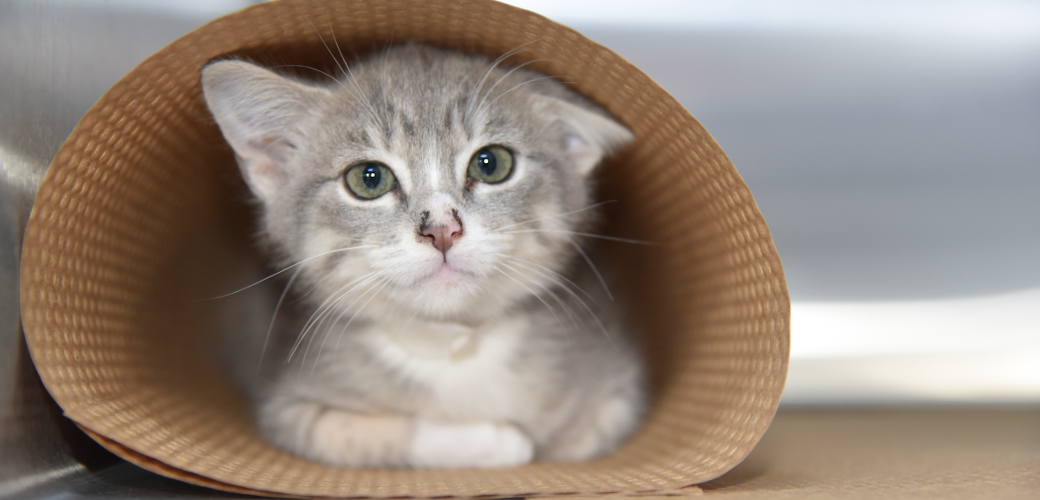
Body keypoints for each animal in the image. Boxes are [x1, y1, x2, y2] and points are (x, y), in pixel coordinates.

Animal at [200, 42, 640, 467]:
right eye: (369, 179)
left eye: (491, 164)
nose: (442, 230)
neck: (451, 351)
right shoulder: (285, 409)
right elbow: (357, 433)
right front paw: (498, 442)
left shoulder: (618, 391)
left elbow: (595, 430)